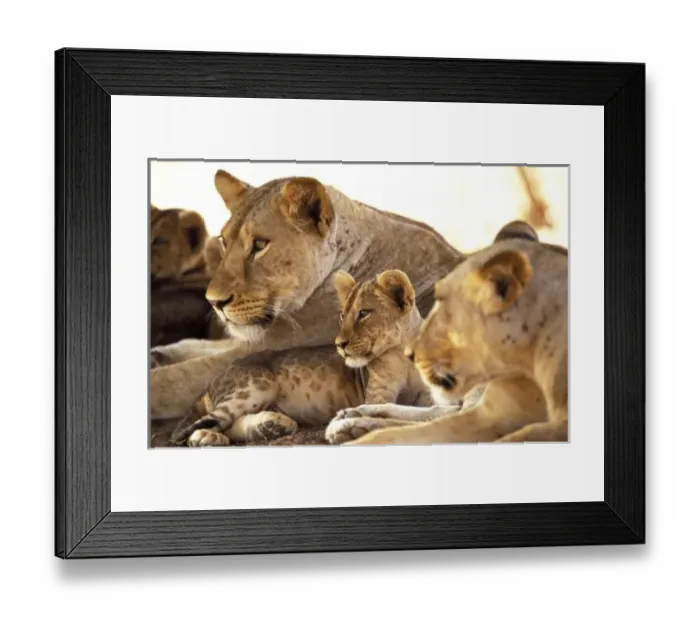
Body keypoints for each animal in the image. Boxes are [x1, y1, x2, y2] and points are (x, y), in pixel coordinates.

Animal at [149, 170, 465, 419]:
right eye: (224, 242)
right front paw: (161, 353)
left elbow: (171, 380)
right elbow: (203, 345)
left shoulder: (269, 348)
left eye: (260, 244)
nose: (214, 301)